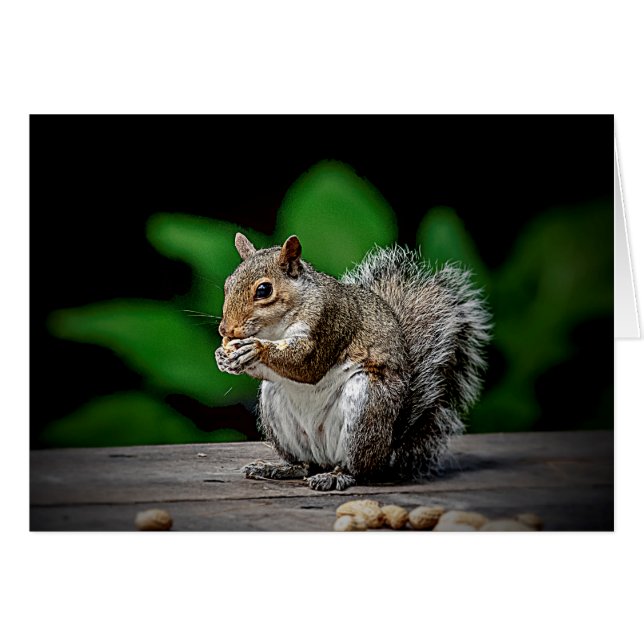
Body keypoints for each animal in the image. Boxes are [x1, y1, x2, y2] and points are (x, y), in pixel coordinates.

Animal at [215, 232, 491, 491]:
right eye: (228, 284)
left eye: (264, 290)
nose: (225, 330)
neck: (275, 329)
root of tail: (388, 449)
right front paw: (223, 357)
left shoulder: (330, 322)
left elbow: (307, 365)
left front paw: (255, 348)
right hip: (277, 408)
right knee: (305, 464)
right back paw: (279, 468)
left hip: (366, 407)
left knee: (357, 469)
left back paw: (336, 476)